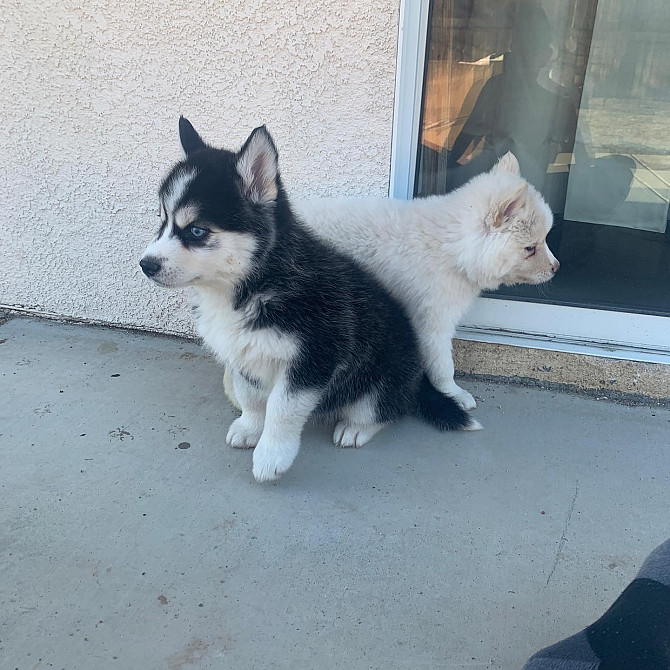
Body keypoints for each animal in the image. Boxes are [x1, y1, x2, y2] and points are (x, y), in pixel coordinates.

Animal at [140, 117, 478, 484]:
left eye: (196, 231)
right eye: (162, 221)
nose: (145, 265)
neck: (254, 285)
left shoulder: (315, 355)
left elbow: (281, 408)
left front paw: (272, 455)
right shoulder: (241, 352)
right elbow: (250, 396)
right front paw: (250, 427)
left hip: (384, 374)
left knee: (386, 408)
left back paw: (357, 427)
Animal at [226, 154, 560, 412]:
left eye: (544, 240)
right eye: (530, 248)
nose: (556, 269)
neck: (453, 247)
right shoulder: (432, 324)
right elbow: (443, 366)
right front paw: (454, 394)